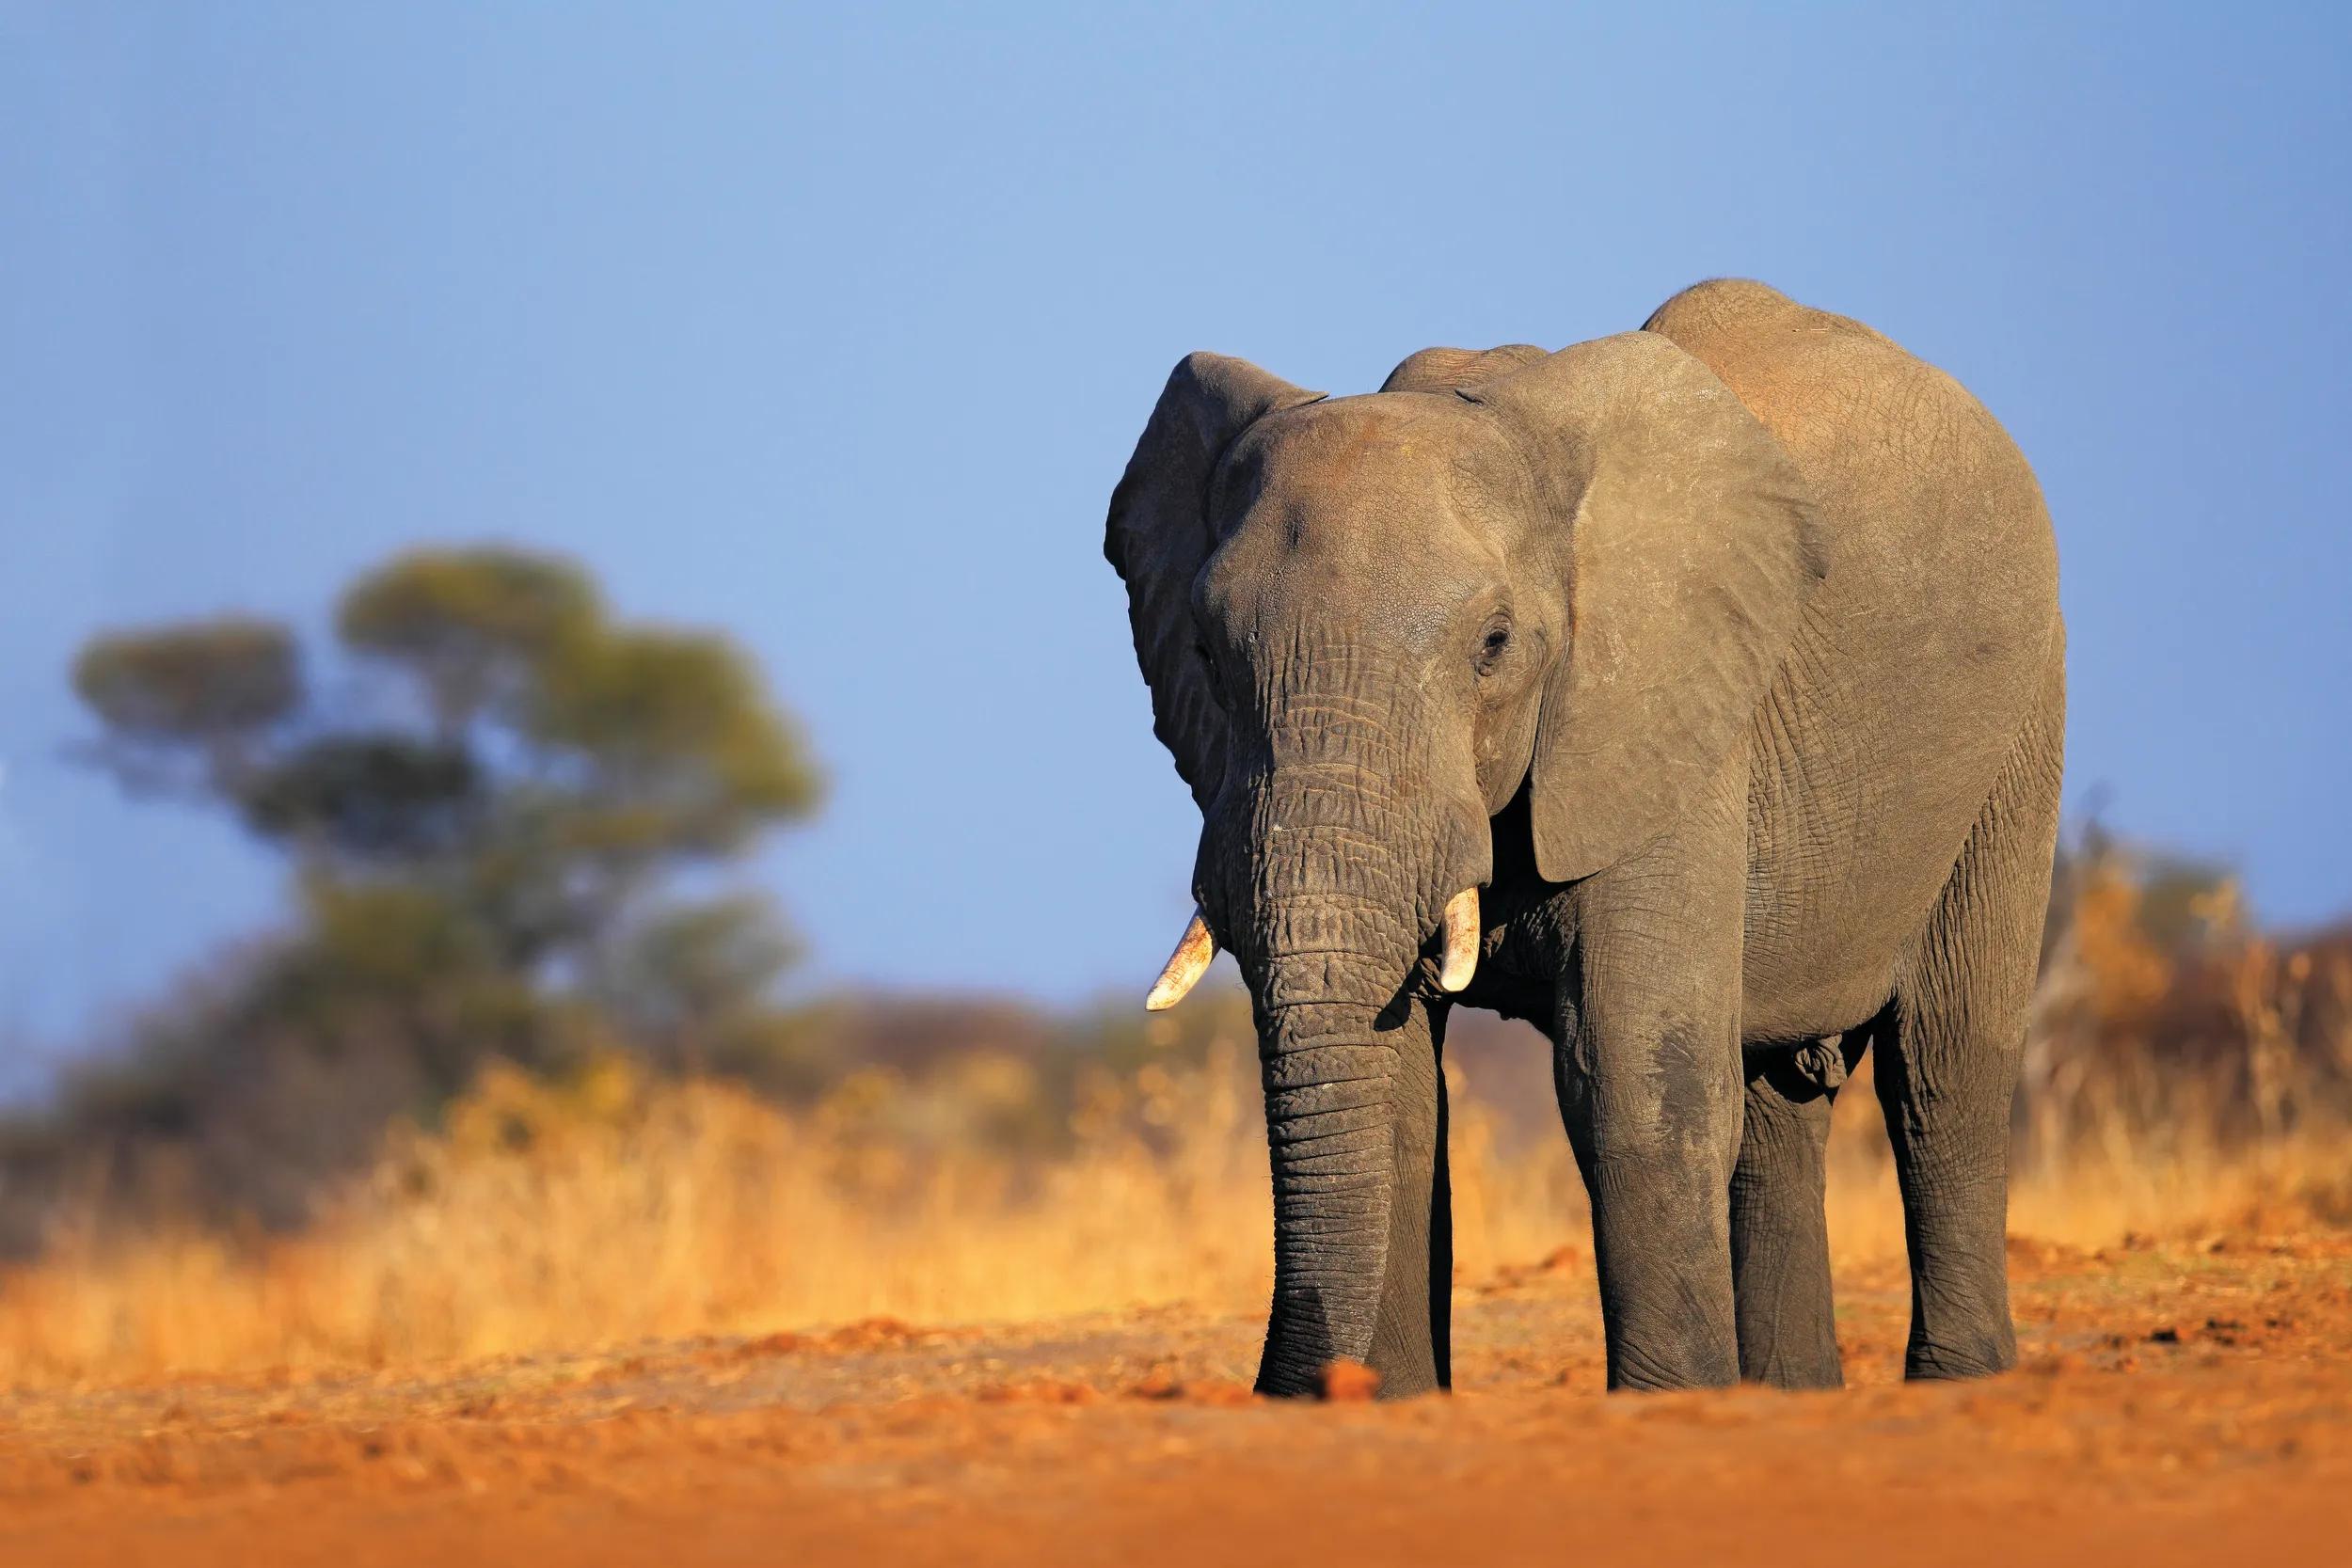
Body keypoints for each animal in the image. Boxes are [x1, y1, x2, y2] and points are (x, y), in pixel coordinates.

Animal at [1103, 279, 2064, 1399]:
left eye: (1493, 645)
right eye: (1207, 652)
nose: (1293, 1386)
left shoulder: (1666, 709)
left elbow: (1632, 1078)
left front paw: (1665, 1405)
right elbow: (1397, 1093)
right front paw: (1393, 1405)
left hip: (2019, 722)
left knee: (1945, 1067)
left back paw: (1960, 1382)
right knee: (1776, 1098)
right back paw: (1785, 1395)